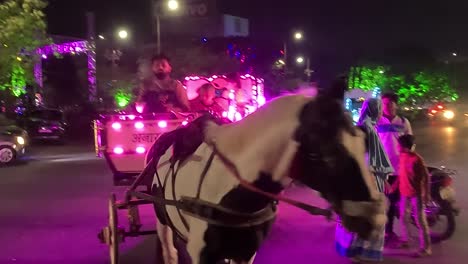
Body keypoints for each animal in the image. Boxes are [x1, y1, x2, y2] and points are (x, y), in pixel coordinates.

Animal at [147, 89, 388, 262]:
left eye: (363, 143)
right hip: (161, 219)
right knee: (169, 251)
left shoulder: (246, 251)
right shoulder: (202, 253)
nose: (377, 217)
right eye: (330, 153)